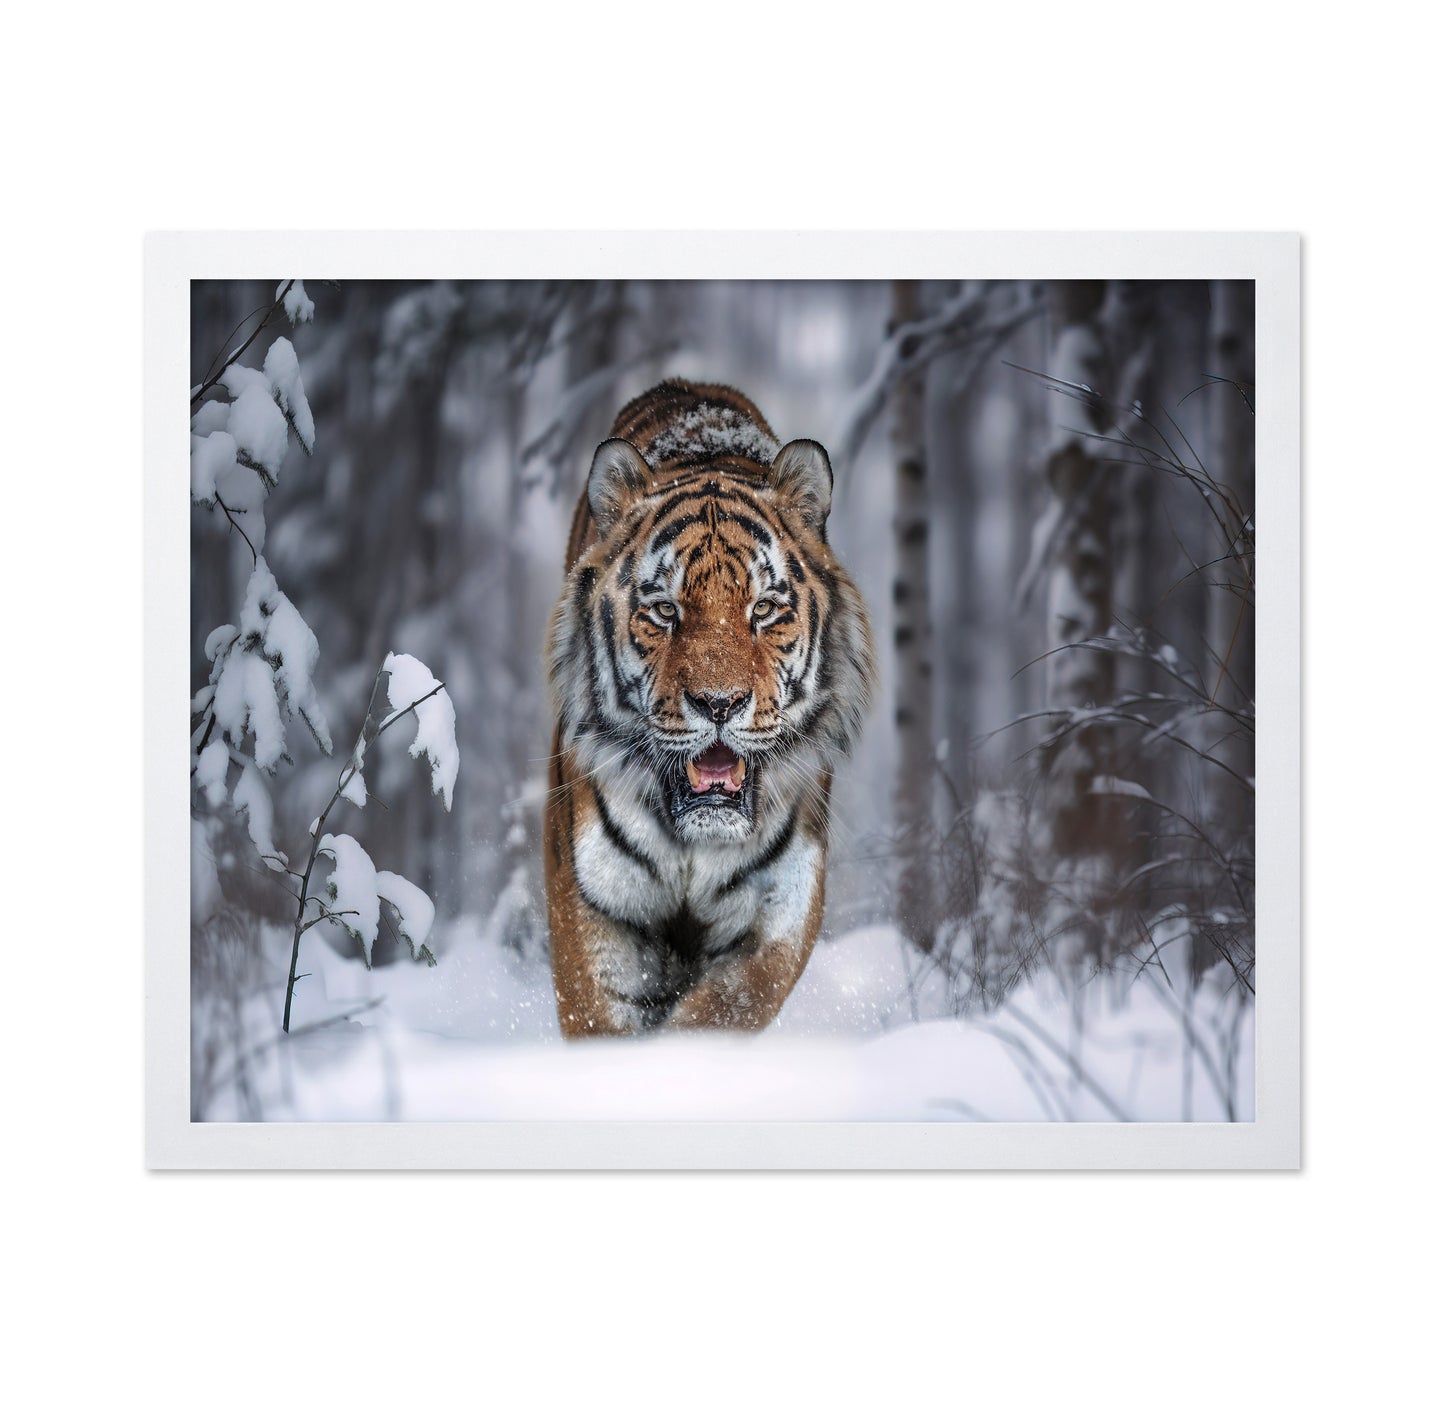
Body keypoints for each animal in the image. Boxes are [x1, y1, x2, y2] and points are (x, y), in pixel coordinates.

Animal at [543, 379, 875, 1037]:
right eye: (664, 610)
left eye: (764, 609)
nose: (719, 703)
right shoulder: (591, 900)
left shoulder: (779, 910)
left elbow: (721, 1013)